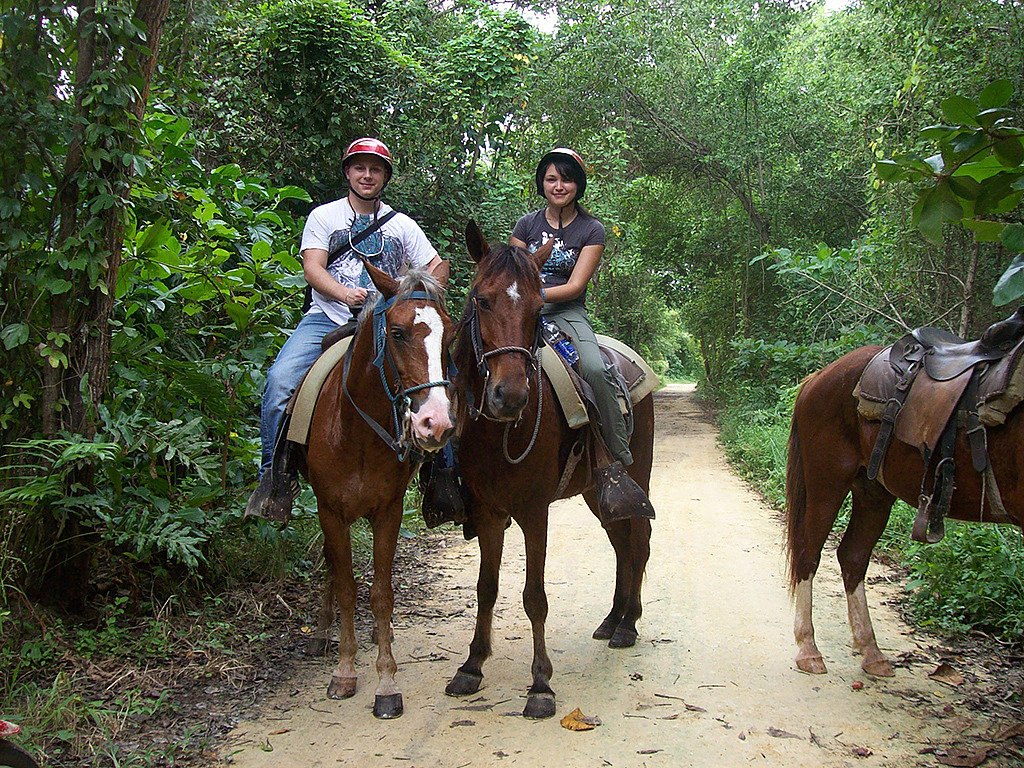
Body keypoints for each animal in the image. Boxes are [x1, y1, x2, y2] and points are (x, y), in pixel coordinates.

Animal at [299, 262, 454, 720]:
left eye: (450, 334)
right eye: (398, 333)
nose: (435, 424)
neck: (356, 432)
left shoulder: (389, 511)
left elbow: (381, 594)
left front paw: (386, 681)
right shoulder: (329, 510)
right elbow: (348, 587)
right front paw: (345, 671)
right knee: (333, 568)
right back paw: (322, 631)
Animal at [786, 346, 1019, 675]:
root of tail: (817, 377)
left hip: (873, 490)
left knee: (853, 556)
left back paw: (872, 652)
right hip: (828, 480)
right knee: (809, 551)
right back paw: (809, 649)